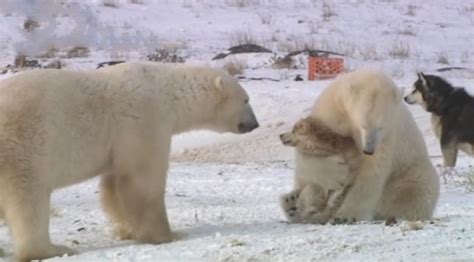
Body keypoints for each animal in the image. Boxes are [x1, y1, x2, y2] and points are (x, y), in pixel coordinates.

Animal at [0, 62, 260, 262]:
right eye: (246, 99)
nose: (255, 124)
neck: (169, 92)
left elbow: (113, 184)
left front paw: (127, 230)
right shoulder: (145, 119)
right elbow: (142, 180)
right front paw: (165, 235)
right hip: (24, 146)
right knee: (29, 199)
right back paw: (52, 249)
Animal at [286, 70, 440, 223]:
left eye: (380, 127)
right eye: (363, 126)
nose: (368, 150)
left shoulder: (387, 137)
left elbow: (371, 172)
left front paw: (345, 216)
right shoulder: (332, 112)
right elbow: (310, 147)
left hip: (409, 173)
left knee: (414, 193)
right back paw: (292, 203)